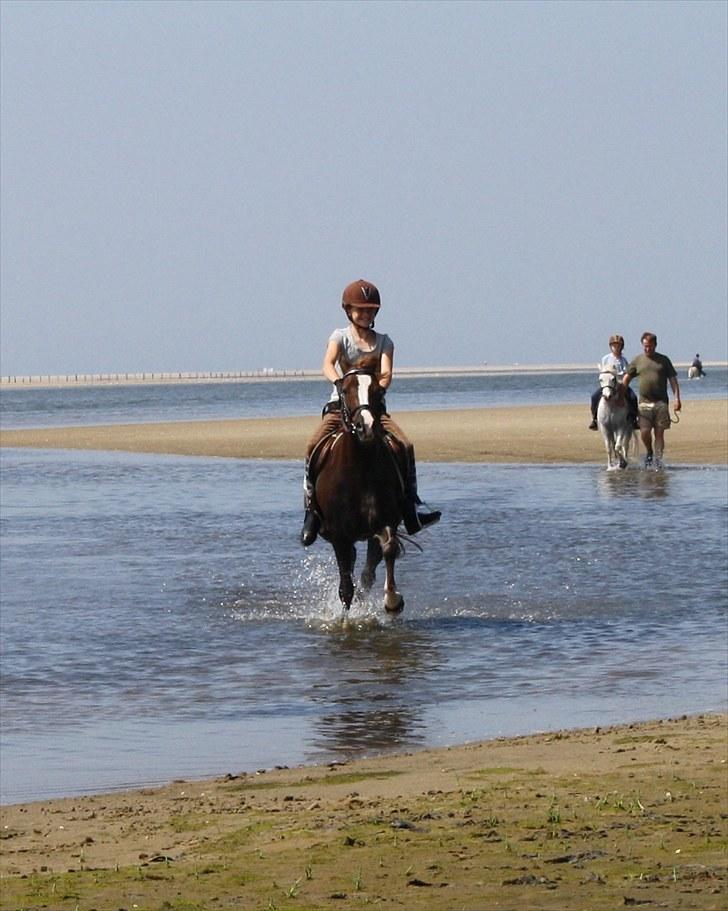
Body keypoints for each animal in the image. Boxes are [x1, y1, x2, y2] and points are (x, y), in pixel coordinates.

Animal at [312, 368, 406, 612]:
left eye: (378, 391)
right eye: (345, 390)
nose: (366, 426)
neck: (360, 469)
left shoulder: (386, 522)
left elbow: (388, 550)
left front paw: (392, 600)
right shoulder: (339, 536)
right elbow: (346, 588)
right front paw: (345, 619)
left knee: (367, 572)